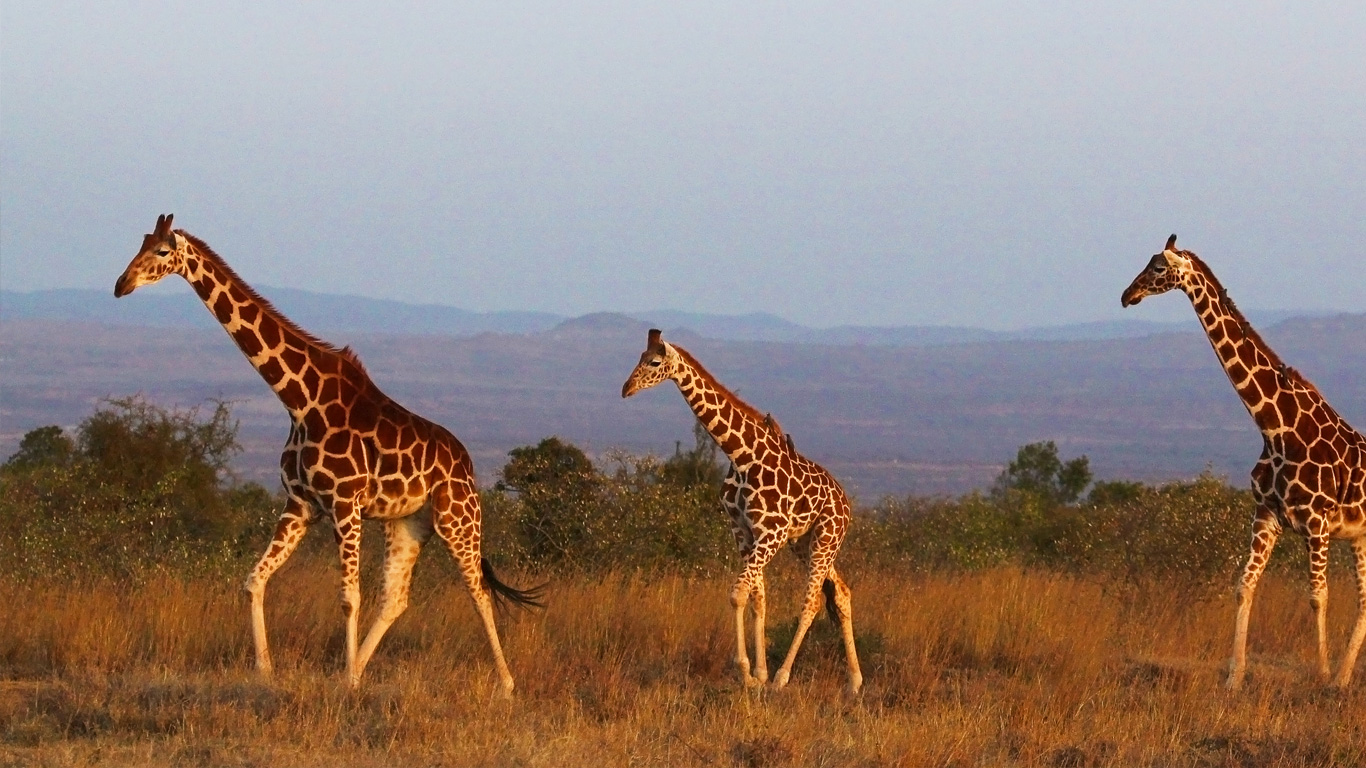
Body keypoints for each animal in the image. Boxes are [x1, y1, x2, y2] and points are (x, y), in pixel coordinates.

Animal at [114, 214, 541, 695]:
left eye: (161, 251)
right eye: (140, 244)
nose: (121, 285)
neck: (300, 400)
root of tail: (466, 463)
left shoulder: (343, 503)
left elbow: (349, 598)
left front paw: (343, 680)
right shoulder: (301, 503)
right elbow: (254, 580)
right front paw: (268, 669)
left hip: (458, 517)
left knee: (478, 591)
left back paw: (506, 684)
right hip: (408, 522)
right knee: (396, 598)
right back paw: (362, 668)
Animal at [622, 329, 863, 693]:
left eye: (653, 361)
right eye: (638, 356)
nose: (626, 388)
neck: (741, 455)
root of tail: (846, 503)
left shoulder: (770, 534)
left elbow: (737, 594)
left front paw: (749, 672)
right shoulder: (745, 533)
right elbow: (757, 598)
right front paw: (757, 674)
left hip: (825, 538)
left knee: (811, 602)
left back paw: (783, 677)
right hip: (804, 543)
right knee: (841, 593)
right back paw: (854, 681)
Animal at [1122, 234, 1366, 689]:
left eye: (1159, 268)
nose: (1128, 295)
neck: (1275, 427)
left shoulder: (1317, 522)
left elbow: (1317, 596)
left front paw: (1320, 674)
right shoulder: (1266, 514)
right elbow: (1244, 585)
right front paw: (1234, 677)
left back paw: (1337, 677)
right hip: (1360, 536)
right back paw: (1345, 678)